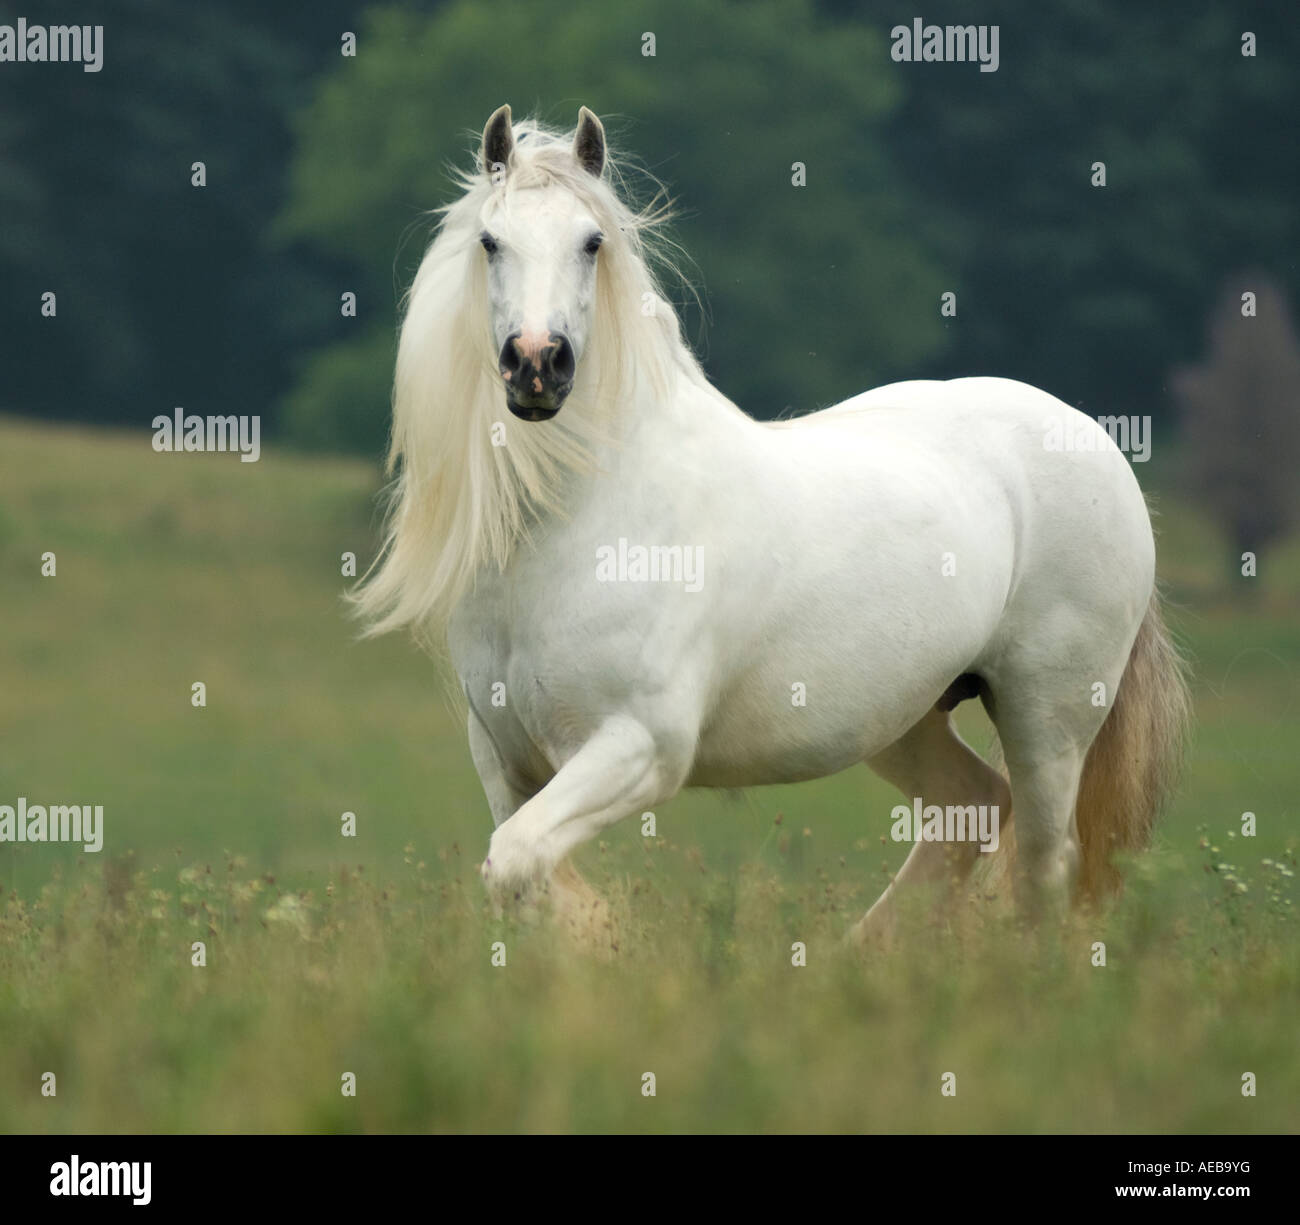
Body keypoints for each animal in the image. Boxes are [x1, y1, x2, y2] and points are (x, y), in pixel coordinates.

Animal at [353, 107, 1190, 951]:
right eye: (491, 241)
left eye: (592, 242)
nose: (535, 365)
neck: (581, 521)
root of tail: (1092, 436)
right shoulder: (506, 760)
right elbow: (522, 878)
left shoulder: (640, 744)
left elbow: (518, 862)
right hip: (908, 714)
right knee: (973, 808)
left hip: (1047, 715)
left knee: (1044, 870)